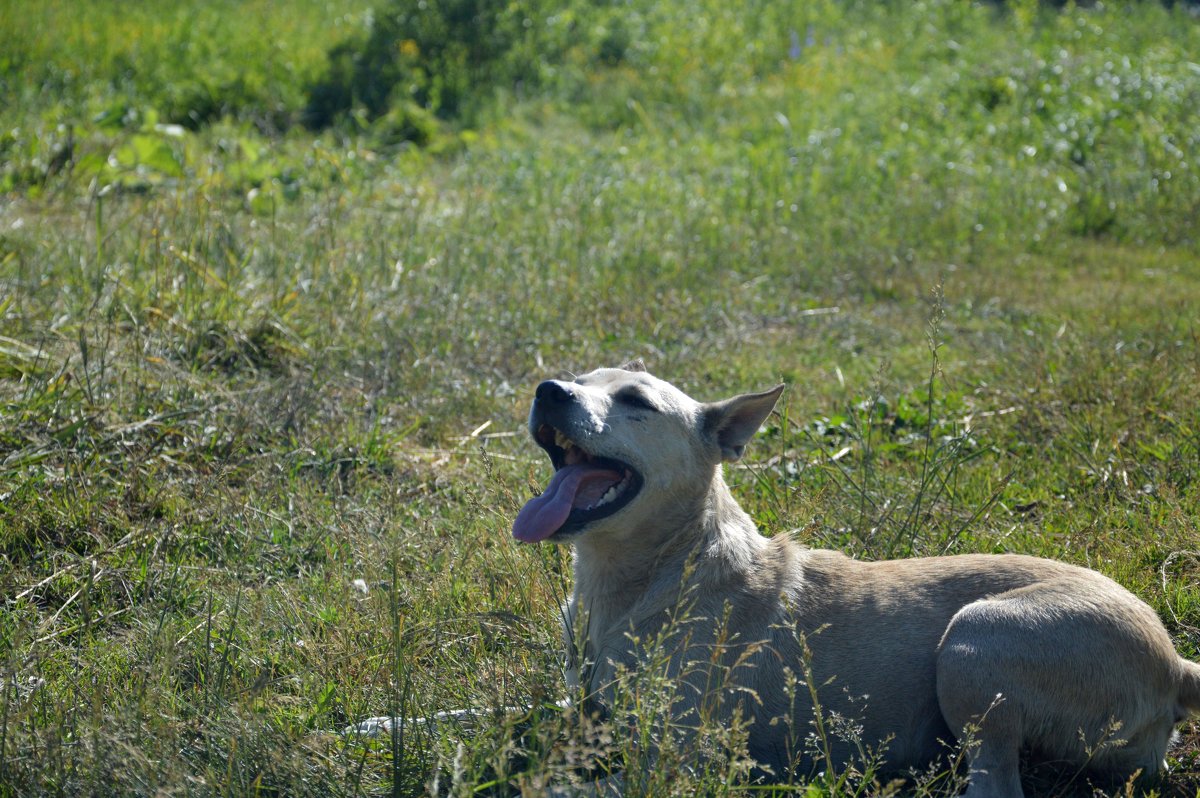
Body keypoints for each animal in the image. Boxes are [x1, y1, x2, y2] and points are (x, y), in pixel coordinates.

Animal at [513, 362, 1200, 796]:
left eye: (636, 402)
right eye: (577, 378)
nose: (548, 390)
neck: (649, 573)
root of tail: (1175, 664)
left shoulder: (677, 762)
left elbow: (549, 788)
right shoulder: (579, 711)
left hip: (975, 640)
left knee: (996, 786)